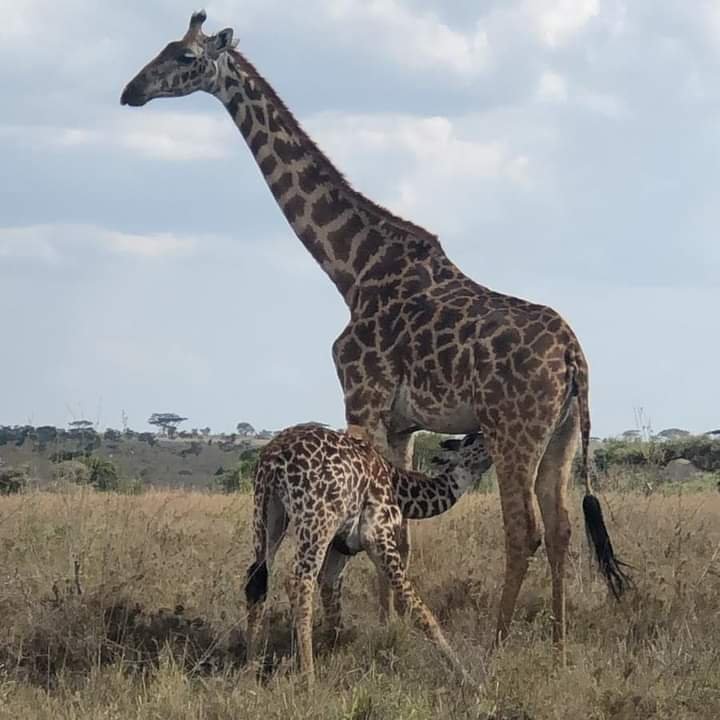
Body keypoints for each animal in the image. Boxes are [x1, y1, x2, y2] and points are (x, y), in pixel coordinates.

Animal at [120, 11, 631, 657]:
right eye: (162, 48)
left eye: (185, 57)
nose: (131, 91)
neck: (351, 268)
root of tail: (572, 357)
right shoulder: (404, 420)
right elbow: (402, 530)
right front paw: (392, 629)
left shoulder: (360, 395)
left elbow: (376, 530)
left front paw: (374, 632)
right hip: (562, 435)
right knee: (562, 526)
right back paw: (560, 642)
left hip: (512, 430)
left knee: (525, 530)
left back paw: (497, 643)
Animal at [245, 423, 492, 683]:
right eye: (472, 439)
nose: (491, 439)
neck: (400, 490)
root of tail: (273, 458)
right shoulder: (378, 534)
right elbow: (417, 607)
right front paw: (468, 678)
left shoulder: (341, 547)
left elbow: (331, 596)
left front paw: (334, 651)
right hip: (317, 520)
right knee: (297, 581)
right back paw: (309, 679)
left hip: (267, 515)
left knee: (257, 580)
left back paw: (250, 670)